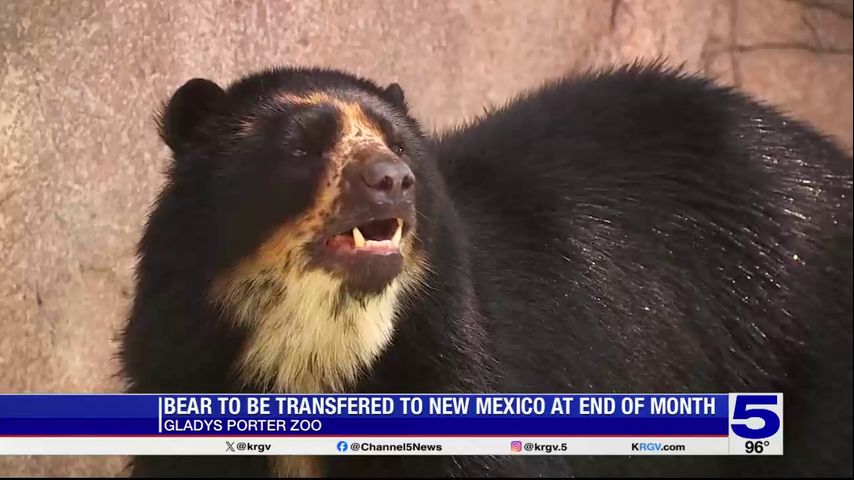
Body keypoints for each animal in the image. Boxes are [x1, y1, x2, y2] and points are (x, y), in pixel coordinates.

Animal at [122, 62, 854, 476]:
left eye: (397, 143)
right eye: (302, 146)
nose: (393, 181)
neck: (320, 349)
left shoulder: (455, 366)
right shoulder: (183, 362)